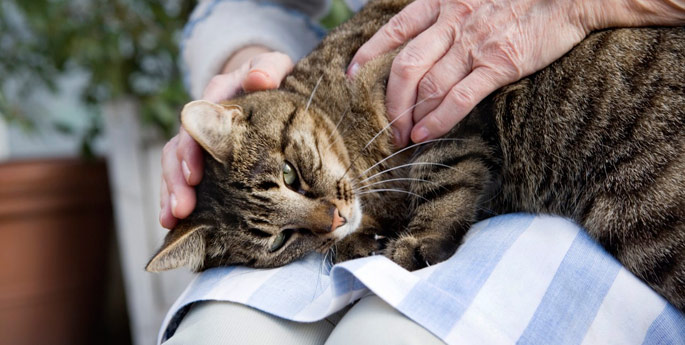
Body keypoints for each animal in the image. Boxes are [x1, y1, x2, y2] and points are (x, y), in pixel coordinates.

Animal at [148, 0, 684, 310]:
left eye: (290, 173)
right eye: (281, 240)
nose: (334, 218)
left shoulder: (435, 101)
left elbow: (442, 176)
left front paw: (415, 239)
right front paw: (358, 242)